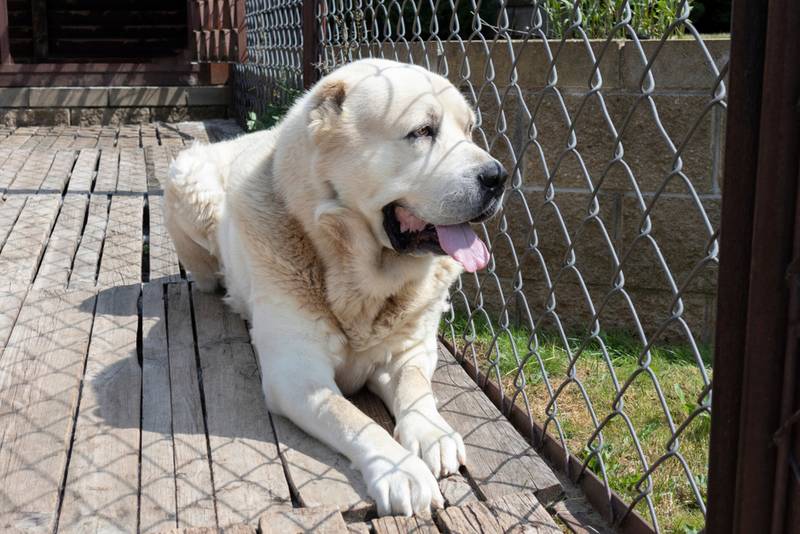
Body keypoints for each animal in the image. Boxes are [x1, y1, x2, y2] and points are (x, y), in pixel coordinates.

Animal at [166, 59, 510, 520]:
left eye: (470, 130)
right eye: (422, 131)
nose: (497, 176)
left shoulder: (409, 351)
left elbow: (416, 387)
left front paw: (432, 434)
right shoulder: (297, 375)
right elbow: (352, 417)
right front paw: (401, 469)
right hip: (187, 183)